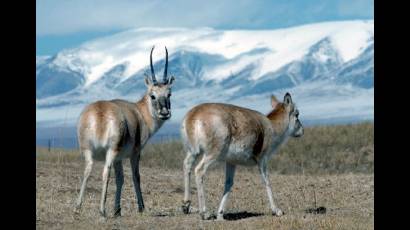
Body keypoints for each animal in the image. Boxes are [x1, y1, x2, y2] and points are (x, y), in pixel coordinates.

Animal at [75, 45, 175, 217]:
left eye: (169, 93)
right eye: (152, 95)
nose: (164, 113)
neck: (140, 112)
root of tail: (99, 111)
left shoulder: (119, 158)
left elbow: (120, 179)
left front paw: (117, 210)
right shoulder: (135, 153)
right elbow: (136, 176)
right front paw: (141, 207)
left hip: (88, 151)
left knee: (87, 171)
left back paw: (78, 207)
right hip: (111, 151)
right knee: (105, 172)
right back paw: (102, 210)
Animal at [181, 92, 302, 220]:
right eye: (297, 113)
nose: (301, 131)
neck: (271, 127)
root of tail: (193, 115)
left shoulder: (231, 162)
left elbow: (228, 184)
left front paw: (220, 214)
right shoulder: (262, 161)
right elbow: (266, 181)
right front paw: (277, 210)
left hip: (193, 152)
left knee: (187, 165)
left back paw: (186, 205)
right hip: (212, 154)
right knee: (199, 170)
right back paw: (205, 213)